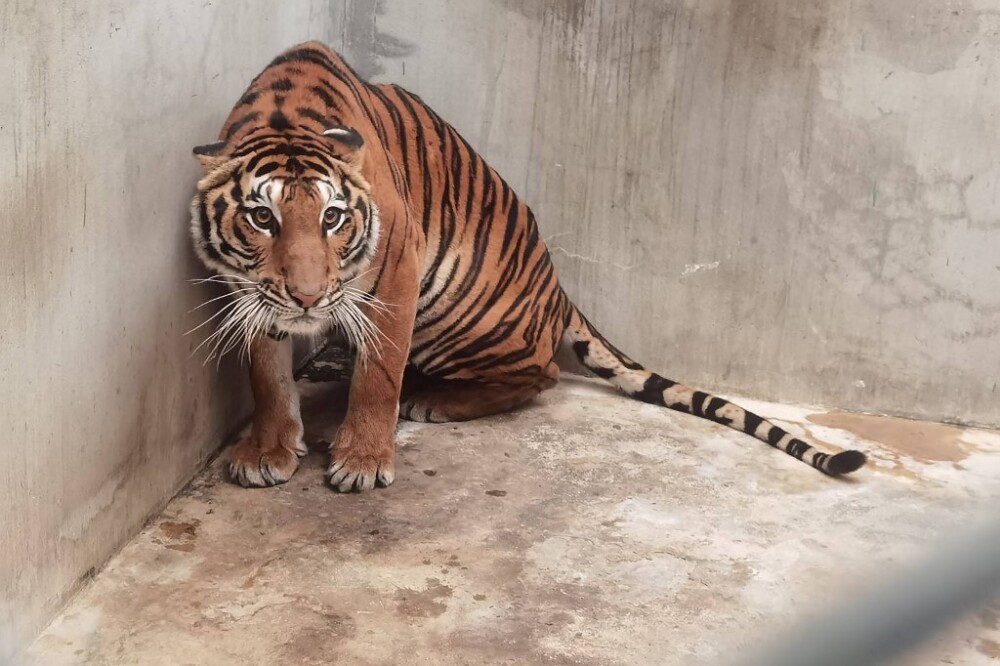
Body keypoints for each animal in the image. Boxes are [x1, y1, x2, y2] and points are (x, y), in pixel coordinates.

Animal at [191, 40, 864, 488]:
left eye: (333, 218)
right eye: (262, 218)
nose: (309, 298)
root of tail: (561, 295)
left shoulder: (398, 265)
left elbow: (379, 375)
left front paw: (361, 461)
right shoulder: (249, 290)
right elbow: (266, 373)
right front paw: (269, 451)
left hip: (459, 312)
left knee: (543, 375)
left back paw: (433, 399)